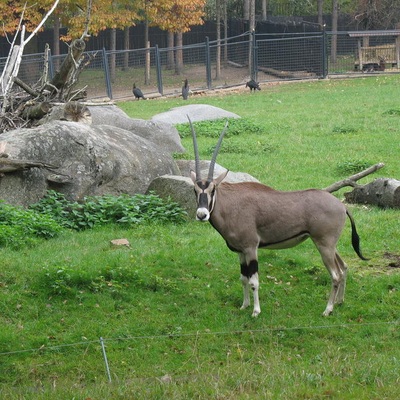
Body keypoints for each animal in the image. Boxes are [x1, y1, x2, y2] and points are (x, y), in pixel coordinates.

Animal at [189, 117, 368, 318]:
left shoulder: (251, 248)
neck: (231, 204)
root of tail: (342, 206)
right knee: (344, 268)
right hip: (328, 245)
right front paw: (244, 305)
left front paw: (256, 311)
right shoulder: (240, 252)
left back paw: (327, 309)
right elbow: (243, 278)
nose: (202, 214)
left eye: (212, 189)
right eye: (195, 190)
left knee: (336, 274)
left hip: (324, 245)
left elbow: (253, 281)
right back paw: (339, 302)